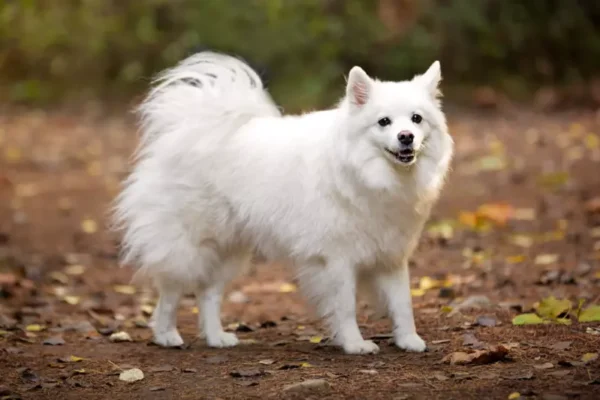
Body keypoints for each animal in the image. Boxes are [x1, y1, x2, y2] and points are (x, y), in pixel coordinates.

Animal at [112, 51, 452, 354]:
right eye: (384, 122)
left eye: (416, 119)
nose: (406, 136)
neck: (371, 175)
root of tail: (189, 130)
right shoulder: (336, 259)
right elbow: (345, 306)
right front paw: (355, 344)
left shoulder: (392, 255)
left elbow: (402, 303)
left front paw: (409, 340)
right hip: (191, 245)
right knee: (171, 290)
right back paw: (166, 335)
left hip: (230, 250)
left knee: (208, 293)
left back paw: (216, 338)